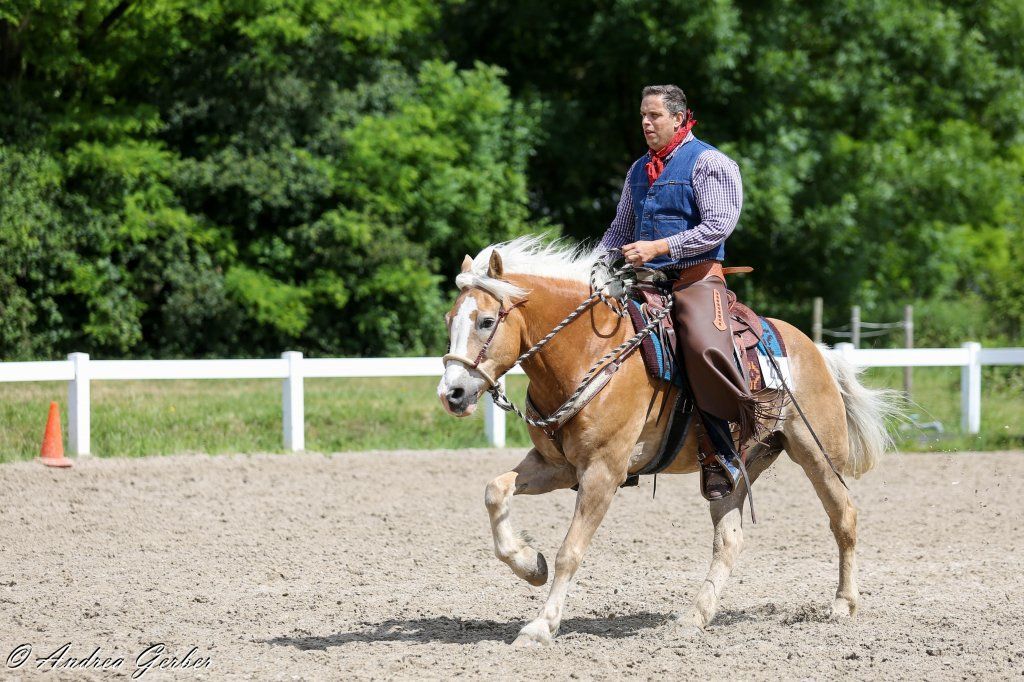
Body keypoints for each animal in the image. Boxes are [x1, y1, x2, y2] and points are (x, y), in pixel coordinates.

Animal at [437, 236, 896, 647]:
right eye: (448, 321)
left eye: (485, 321)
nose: (451, 394)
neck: (589, 353)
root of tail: (813, 349)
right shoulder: (558, 466)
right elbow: (495, 490)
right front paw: (530, 564)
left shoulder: (603, 471)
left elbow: (571, 549)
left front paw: (541, 626)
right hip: (732, 467)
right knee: (729, 540)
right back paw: (694, 617)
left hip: (817, 454)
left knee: (844, 517)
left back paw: (842, 604)